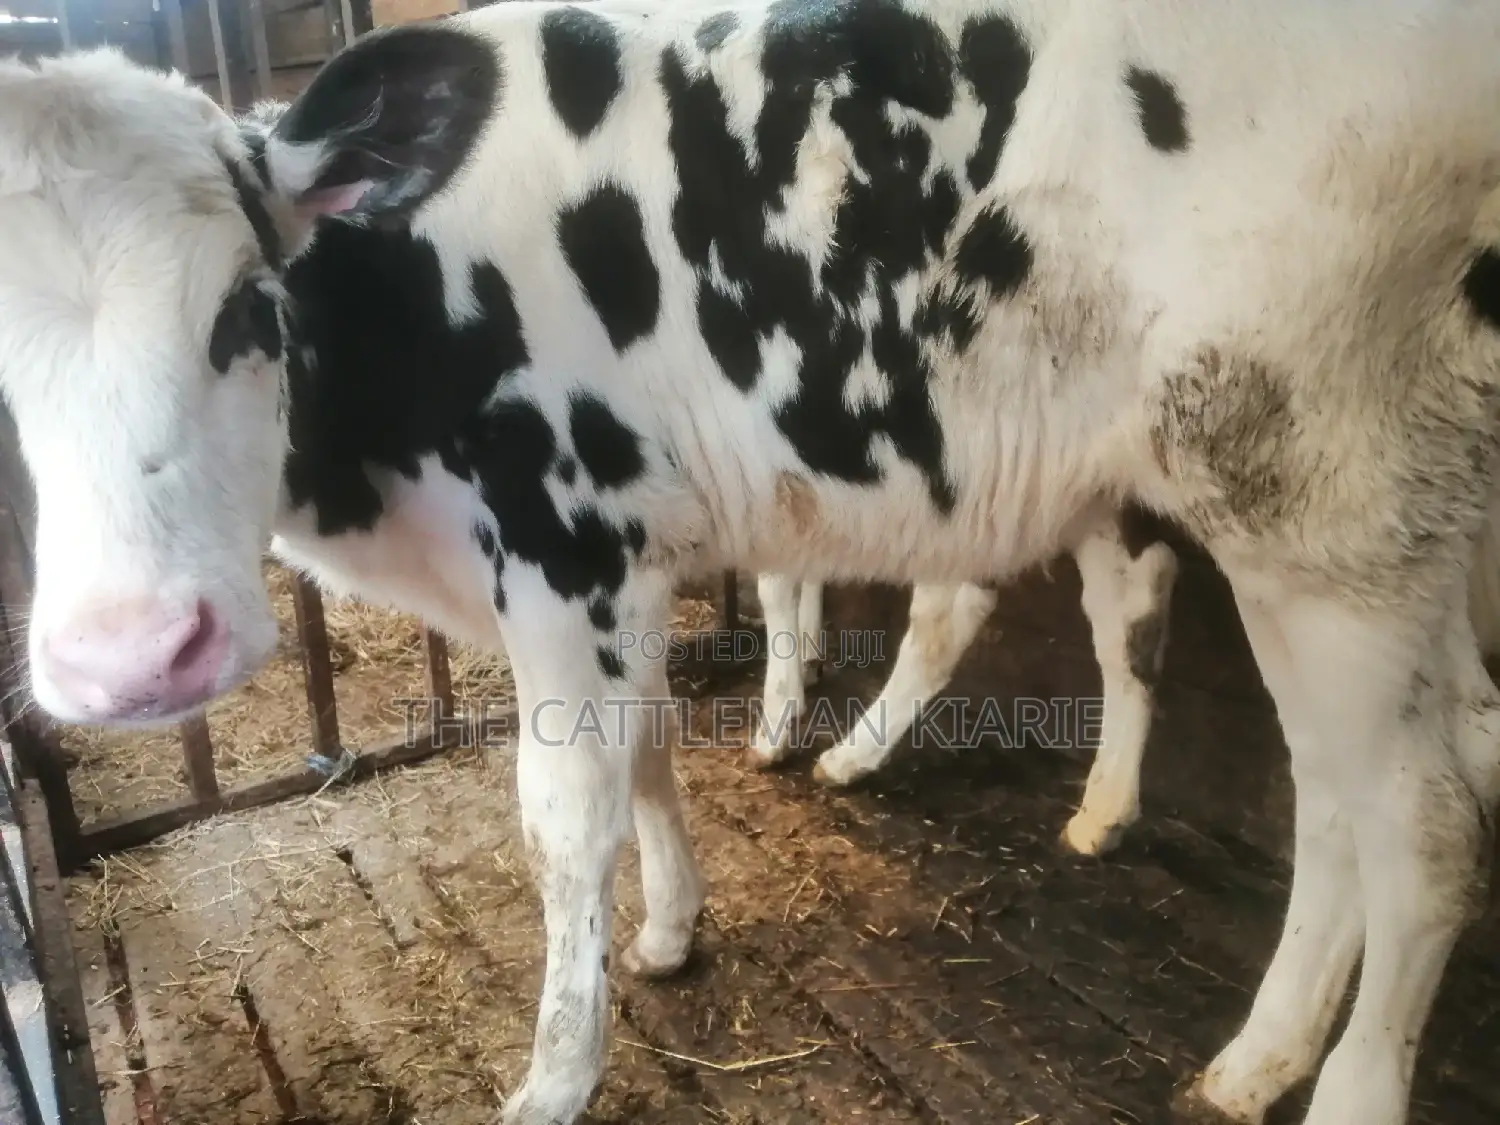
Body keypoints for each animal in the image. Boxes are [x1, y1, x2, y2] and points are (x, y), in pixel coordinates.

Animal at [4, 2, 1500, 1123]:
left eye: (251, 306)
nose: (133, 655)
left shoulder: (564, 549)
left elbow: (564, 817)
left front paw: (555, 1077)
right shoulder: (627, 564)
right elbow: (654, 751)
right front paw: (672, 930)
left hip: (1328, 516)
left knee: (1419, 825)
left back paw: (1340, 1086)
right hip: (1366, 534)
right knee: (1350, 780)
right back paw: (1255, 1050)